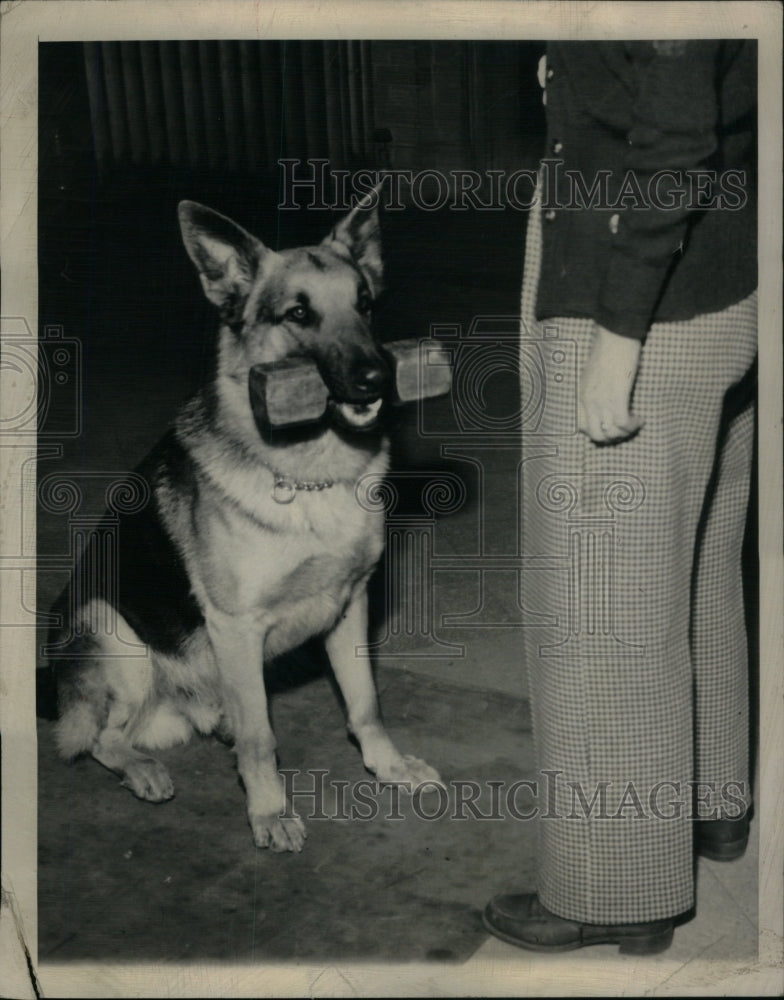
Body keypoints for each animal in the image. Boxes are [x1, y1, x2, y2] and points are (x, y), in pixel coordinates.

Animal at [47, 189, 440, 852]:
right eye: (298, 313)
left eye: (364, 304)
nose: (378, 378)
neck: (309, 473)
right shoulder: (236, 626)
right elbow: (261, 737)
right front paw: (269, 811)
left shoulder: (350, 606)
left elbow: (365, 704)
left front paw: (387, 767)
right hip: (111, 630)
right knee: (99, 736)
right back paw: (142, 766)